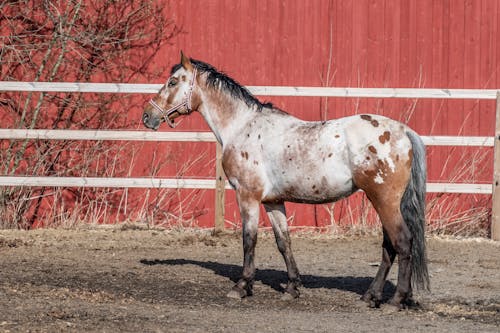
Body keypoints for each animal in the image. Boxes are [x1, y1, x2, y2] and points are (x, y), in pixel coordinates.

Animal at [142, 52, 430, 308]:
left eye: (172, 82)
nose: (147, 116)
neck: (242, 126)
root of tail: (404, 131)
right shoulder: (273, 201)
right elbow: (284, 242)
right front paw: (292, 288)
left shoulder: (247, 196)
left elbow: (249, 239)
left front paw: (242, 286)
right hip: (384, 202)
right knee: (389, 247)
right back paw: (371, 297)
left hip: (384, 200)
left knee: (402, 243)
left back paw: (395, 301)